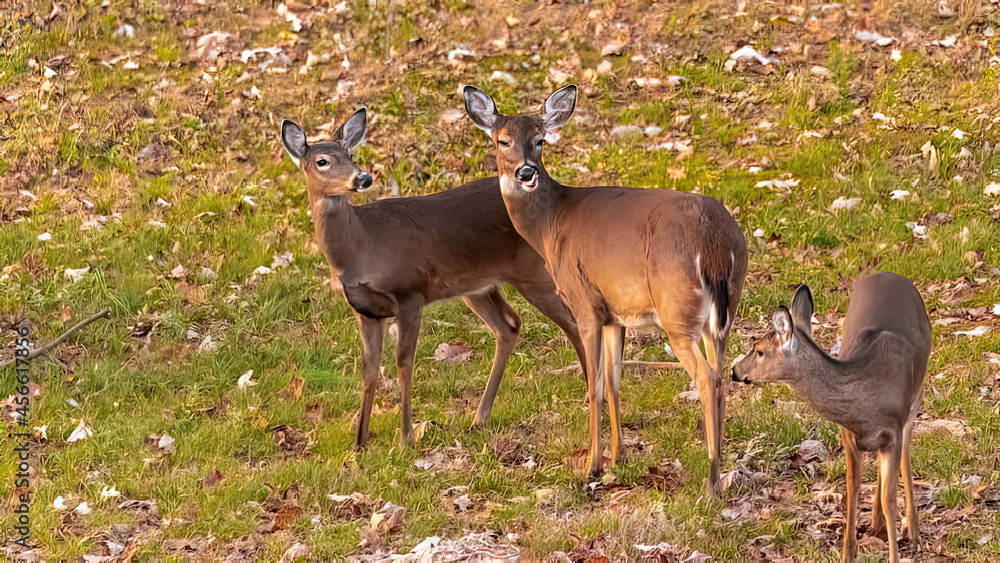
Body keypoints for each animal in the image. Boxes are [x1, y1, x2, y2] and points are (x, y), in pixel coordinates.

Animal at [280, 109, 592, 450]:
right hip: (477, 285)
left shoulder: (410, 293)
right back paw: (479, 418)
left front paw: (406, 438)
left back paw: (591, 398)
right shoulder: (367, 311)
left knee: (574, 320)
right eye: (322, 161)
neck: (362, 247)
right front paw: (359, 444)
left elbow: (404, 363)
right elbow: (369, 370)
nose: (362, 178)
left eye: (351, 155)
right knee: (509, 325)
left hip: (534, 271)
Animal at [464, 83, 748, 494]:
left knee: (707, 378)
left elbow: (594, 383)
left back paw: (710, 482)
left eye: (540, 140)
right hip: (724, 312)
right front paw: (618, 458)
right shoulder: (615, 313)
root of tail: (714, 241)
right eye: (503, 141)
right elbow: (614, 381)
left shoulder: (584, 304)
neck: (551, 224)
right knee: (722, 375)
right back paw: (721, 471)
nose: (527, 172)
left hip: (676, 308)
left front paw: (592, 467)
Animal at [728, 270, 928, 560]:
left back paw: (911, 529)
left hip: (916, 396)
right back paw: (875, 523)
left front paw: (893, 553)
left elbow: (890, 500)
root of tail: (888, 273)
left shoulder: (893, 431)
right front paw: (848, 553)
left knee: (906, 455)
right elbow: (852, 488)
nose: (734, 370)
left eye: (760, 351)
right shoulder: (848, 433)